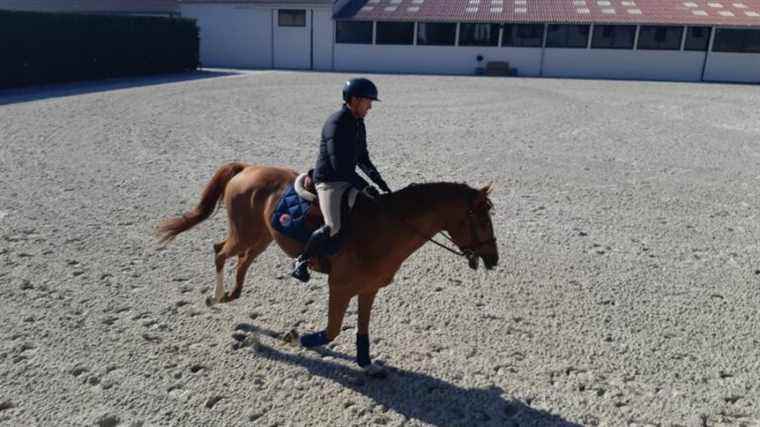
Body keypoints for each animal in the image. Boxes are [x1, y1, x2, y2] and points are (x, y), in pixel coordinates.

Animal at [156, 162, 498, 376]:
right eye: (481, 220)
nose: (493, 259)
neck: (385, 228)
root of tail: (247, 168)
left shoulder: (368, 289)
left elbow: (363, 331)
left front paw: (367, 365)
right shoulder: (341, 287)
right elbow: (332, 330)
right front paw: (295, 338)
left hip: (262, 237)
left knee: (241, 261)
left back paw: (231, 296)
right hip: (246, 234)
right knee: (219, 251)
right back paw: (216, 296)